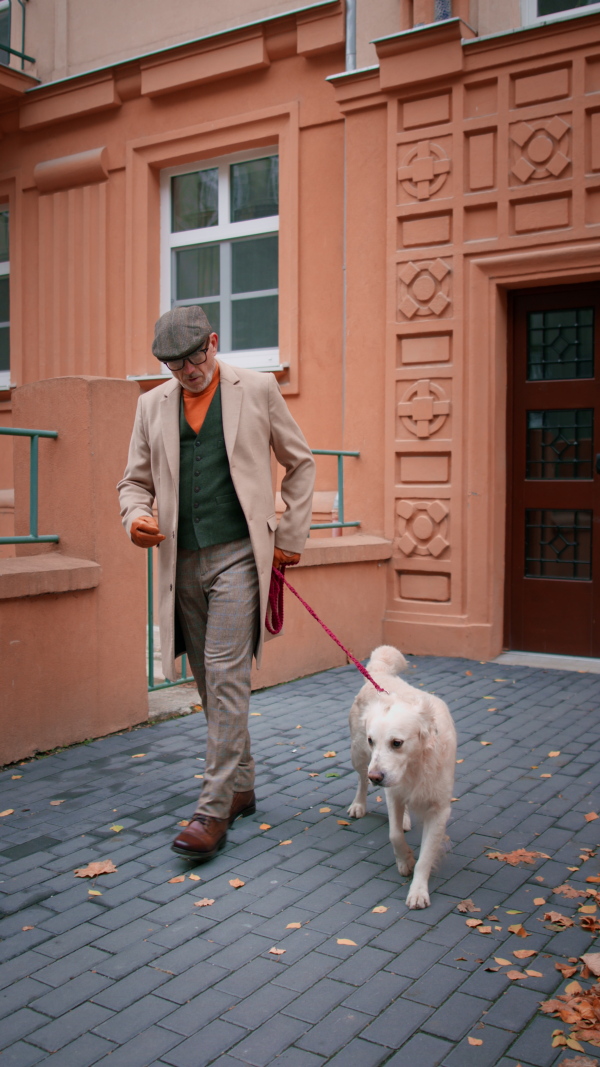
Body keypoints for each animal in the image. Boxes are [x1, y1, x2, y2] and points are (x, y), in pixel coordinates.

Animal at [345, 640, 452, 909]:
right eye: (373, 741)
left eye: (397, 743)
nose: (377, 777)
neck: (415, 766)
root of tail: (380, 674)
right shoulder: (392, 792)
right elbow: (393, 835)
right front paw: (405, 861)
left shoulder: (439, 808)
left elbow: (427, 855)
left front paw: (418, 891)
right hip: (359, 756)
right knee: (361, 780)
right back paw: (359, 805)